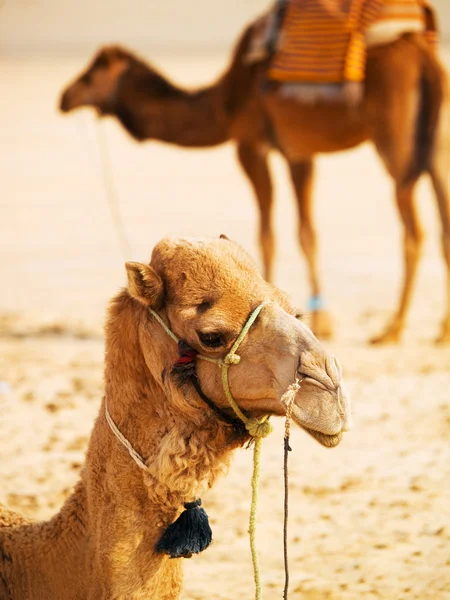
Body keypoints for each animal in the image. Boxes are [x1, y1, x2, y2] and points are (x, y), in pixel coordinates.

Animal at [59, 19, 450, 346]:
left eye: (91, 75)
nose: (64, 98)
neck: (224, 103)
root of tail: (425, 57)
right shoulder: (297, 151)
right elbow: (307, 233)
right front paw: (320, 321)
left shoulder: (250, 144)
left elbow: (266, 235)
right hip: (437, 146)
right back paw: (441, 331)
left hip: (396, 145)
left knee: (413, 231)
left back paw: (392, 330)